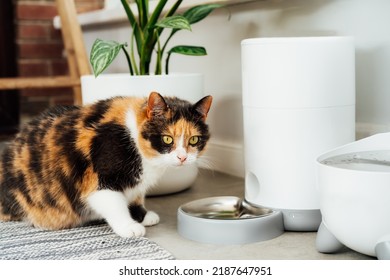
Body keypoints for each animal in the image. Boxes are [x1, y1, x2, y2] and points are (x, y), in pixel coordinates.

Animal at [0, 93, 212, 237]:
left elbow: (136, 197)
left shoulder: (136, 185)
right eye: (167, 139)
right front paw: (129, 226)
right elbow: (115, 204)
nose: (182, 157)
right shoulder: (99, 179)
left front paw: (142, 216)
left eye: (194, 140)